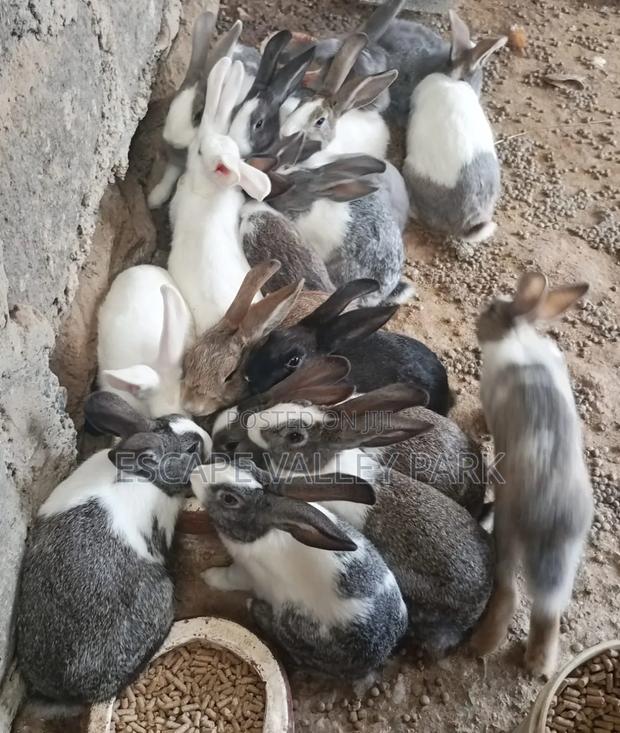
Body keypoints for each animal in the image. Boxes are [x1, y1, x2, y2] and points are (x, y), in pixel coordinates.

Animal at [148, 14, 256, 208]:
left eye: (198, 116)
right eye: (170, 106)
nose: (172, 140)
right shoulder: (176, 161)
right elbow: (169, 176)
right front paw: (155, 198)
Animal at [192, 461, 408, 677]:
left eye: (229, 499)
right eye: (247, 463)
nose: (194, 472)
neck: (267, 530)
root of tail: (381, 653)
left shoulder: (245, 572)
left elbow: (227, 577)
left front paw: (207, 576)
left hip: (291, 624)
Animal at [470, 272, 593, 679]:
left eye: (492, 308)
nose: (478, 323)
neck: (518, 334)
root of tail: (550, 512)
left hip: (508, 528)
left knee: (509, 590)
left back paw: (481, 644)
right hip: (568, 555)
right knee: (547, 612)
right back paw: (539, 665)